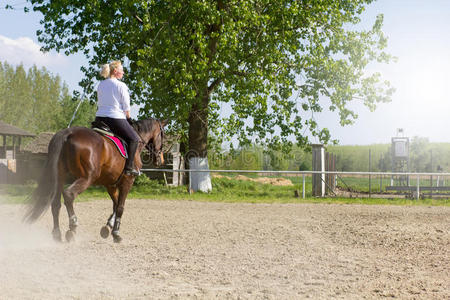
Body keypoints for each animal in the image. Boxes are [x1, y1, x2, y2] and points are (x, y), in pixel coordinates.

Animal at [24, 118, 166, 243]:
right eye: (163, 136)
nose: (161, 160)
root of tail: (68, 133)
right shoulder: (127, 182)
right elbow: (120, 207)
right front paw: (116, 234)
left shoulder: (110, 184)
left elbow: (115, 204)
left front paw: (108, 226)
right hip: (87, 178)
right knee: (69, 195)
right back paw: (73, 227)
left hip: (60, 178)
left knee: (55, 203)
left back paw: (57, 234)